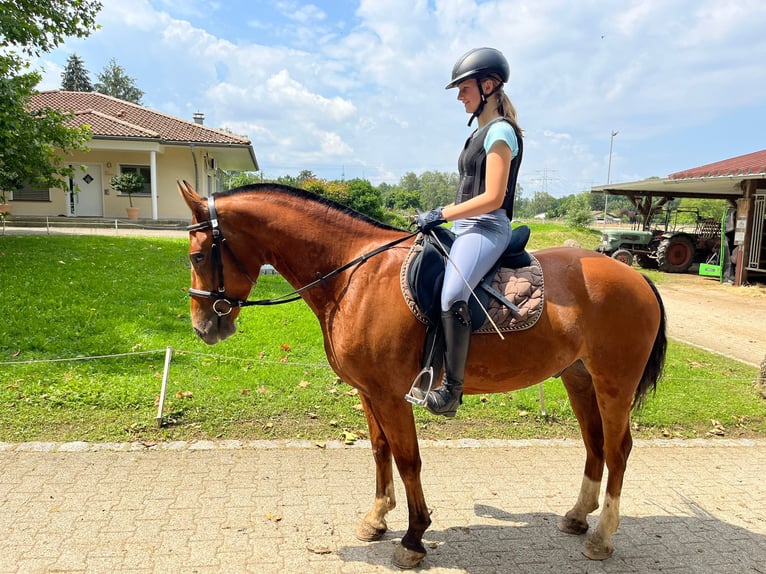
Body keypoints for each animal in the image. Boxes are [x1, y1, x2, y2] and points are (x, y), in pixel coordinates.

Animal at [178, 181, 664, 572]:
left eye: (198, 255)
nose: (204, 327)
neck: (355, 275)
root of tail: (635, 275)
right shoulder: (369, 393)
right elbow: (380, 451)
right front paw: (377, 518)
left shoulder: (392, 396)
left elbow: (408, 459)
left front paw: (414, 538)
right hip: (578, 378)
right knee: (594, 444)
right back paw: (579, 517)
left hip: (614, 385)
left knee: (619, 449)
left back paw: (602, 536)